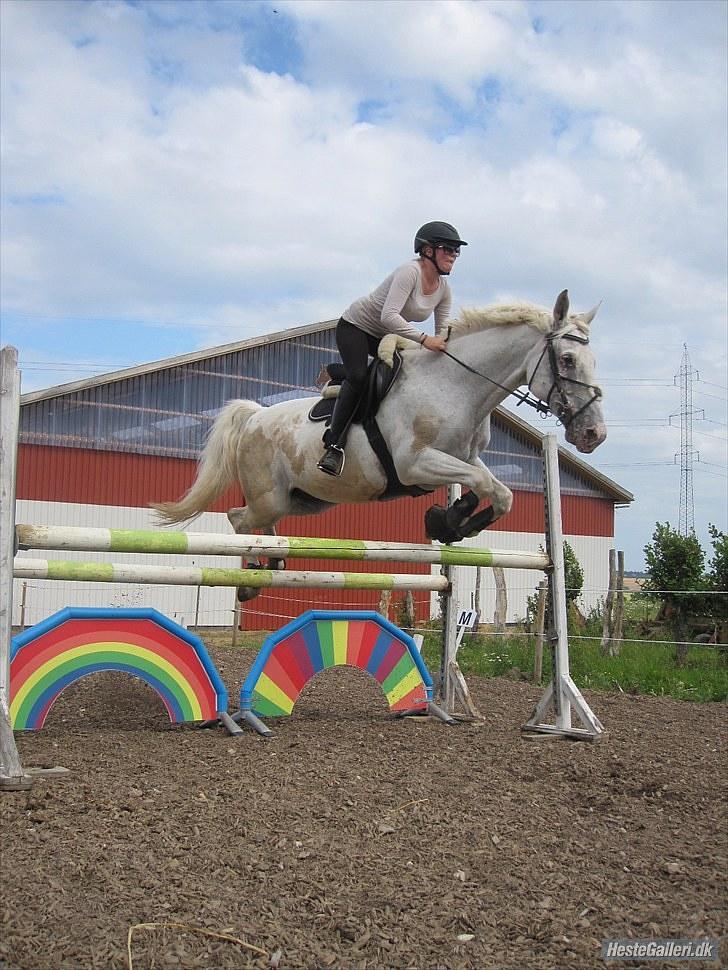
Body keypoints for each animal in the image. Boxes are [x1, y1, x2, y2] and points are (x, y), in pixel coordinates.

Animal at [151, 288, 604, 588]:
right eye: (567, 359)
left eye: (593, 360)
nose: (594, 434)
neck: (455, 386)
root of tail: (255, 416)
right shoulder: (414, 463)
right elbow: (484, 484)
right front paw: (448, 519)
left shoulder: (464, 458)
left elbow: (500, 492)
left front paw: (448, 523)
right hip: (270, 497)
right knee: (239, 519)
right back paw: (253, 577)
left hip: (305, 500)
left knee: (258, 521)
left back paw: (275, 560)